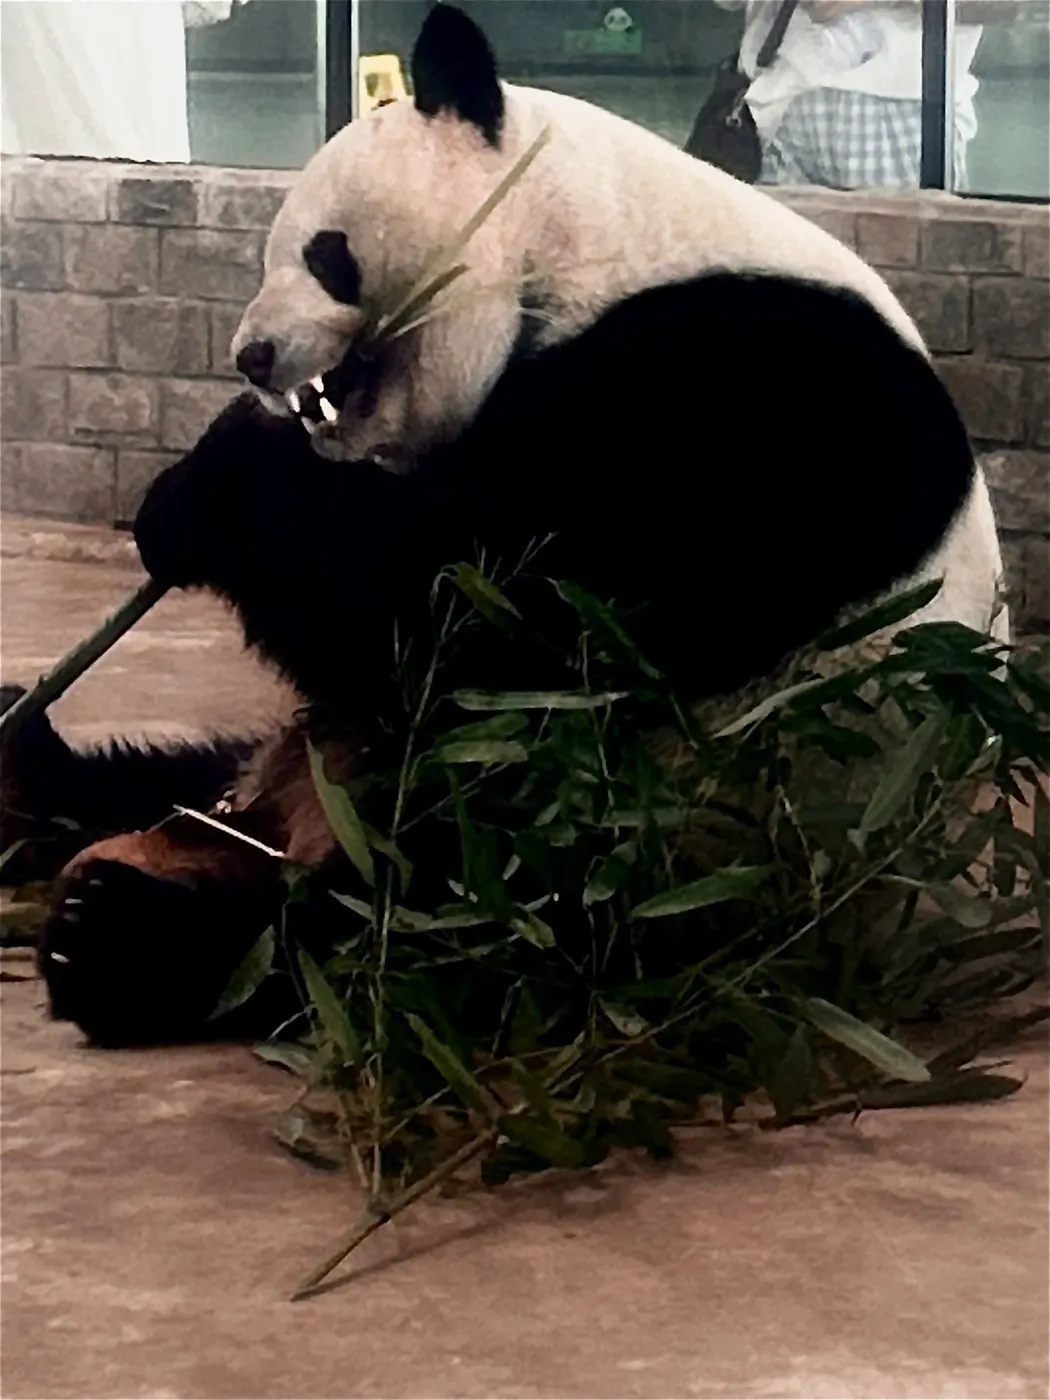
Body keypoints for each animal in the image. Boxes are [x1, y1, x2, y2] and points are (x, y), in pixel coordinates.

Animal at [1, 3, 1006, 1048]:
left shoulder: (751, 397)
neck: (586, 236)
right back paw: (28, 774)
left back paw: (117, 939)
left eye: (326, 253)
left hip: (646, 844)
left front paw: (210, 494)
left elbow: (478, 613)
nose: (253, 357)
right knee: (179, 777)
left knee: (410, 921)